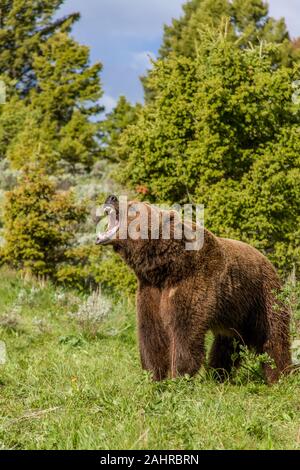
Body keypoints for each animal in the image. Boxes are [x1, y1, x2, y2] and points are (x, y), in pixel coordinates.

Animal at [95, 196, 290, 384]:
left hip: (262, 297)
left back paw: (280, 376)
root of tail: (268, 261)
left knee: (273, 337)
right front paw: (153, 377)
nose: (111, 197)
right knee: (227, 343)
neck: (166, 267)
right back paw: (218, 375)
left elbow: (185, 330)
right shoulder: (151, 290)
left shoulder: (192, 281)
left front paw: (178, 377)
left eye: (133, 206)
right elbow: (152, 334)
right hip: (233, 313)